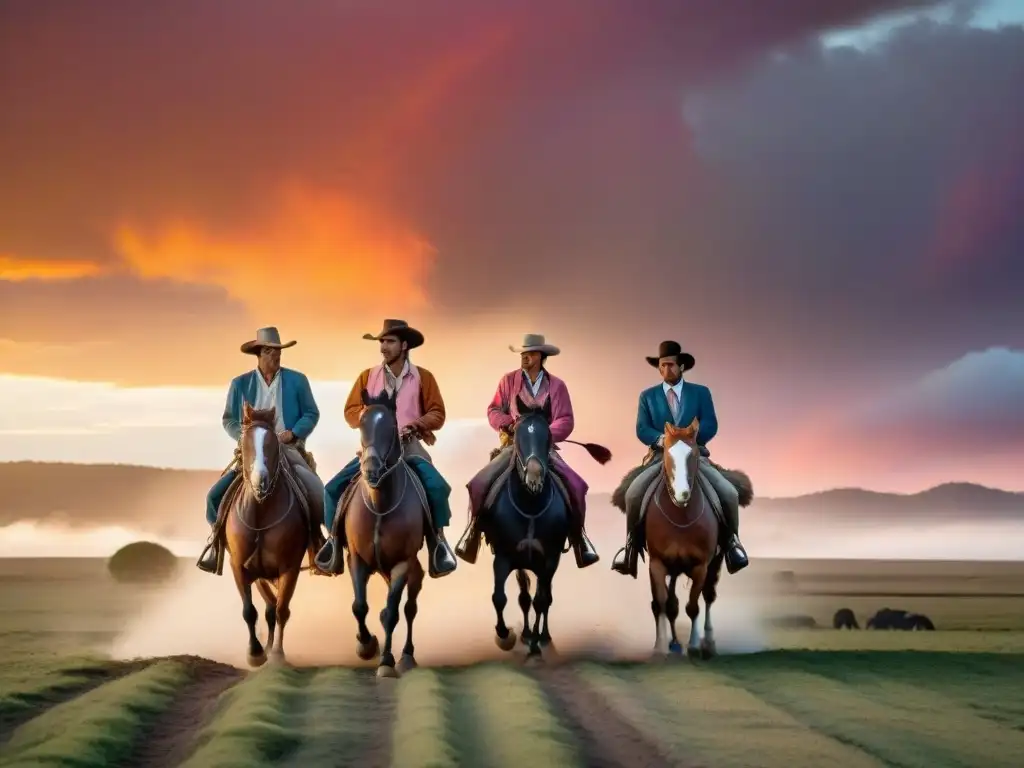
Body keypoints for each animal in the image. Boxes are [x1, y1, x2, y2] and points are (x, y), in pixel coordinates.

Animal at [227, 403, 311, 667]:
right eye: (245, 442)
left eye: (273, 443)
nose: (260, 480)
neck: (260, 512)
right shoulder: (239, 566)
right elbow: (249, 611)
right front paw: (255, 653)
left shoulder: (289, 568)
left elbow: (283, 609)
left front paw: (276, 654)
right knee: (268, 608)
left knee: (275, 608)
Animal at [342, 391, 425, 679]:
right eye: (361, 425)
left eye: (390, 426)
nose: (371, 470)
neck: (380, 506)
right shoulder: (356, 559)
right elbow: (359, 606)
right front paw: (366, 646)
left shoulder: (401, 565)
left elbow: (392, 614)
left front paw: (386, 661)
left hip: (413, 573)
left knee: (409, 609)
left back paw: (407, 656)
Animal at [479, 397, 569, 663]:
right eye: (517, 434)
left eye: (547, 435)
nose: (534, 478)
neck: (530, 504)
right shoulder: (504, 557)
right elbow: (503, 598)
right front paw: (504, 635)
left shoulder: (549, 559)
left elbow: (541, 601)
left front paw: (536, 644)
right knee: (526, 597)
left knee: (545, 598)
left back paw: (543, 636)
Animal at [647, 417, 753, 659]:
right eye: (667, 453)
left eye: (693, 454)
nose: (682, 493)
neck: (680, 515)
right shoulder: (657, 564)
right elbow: (661, 603)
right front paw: (659, 646)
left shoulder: (700, 566)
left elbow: (693, 606)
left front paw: (694, 645)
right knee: (671, 603)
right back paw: (674, 644)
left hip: (715, 563)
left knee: (708, 596)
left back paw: (708, 643)